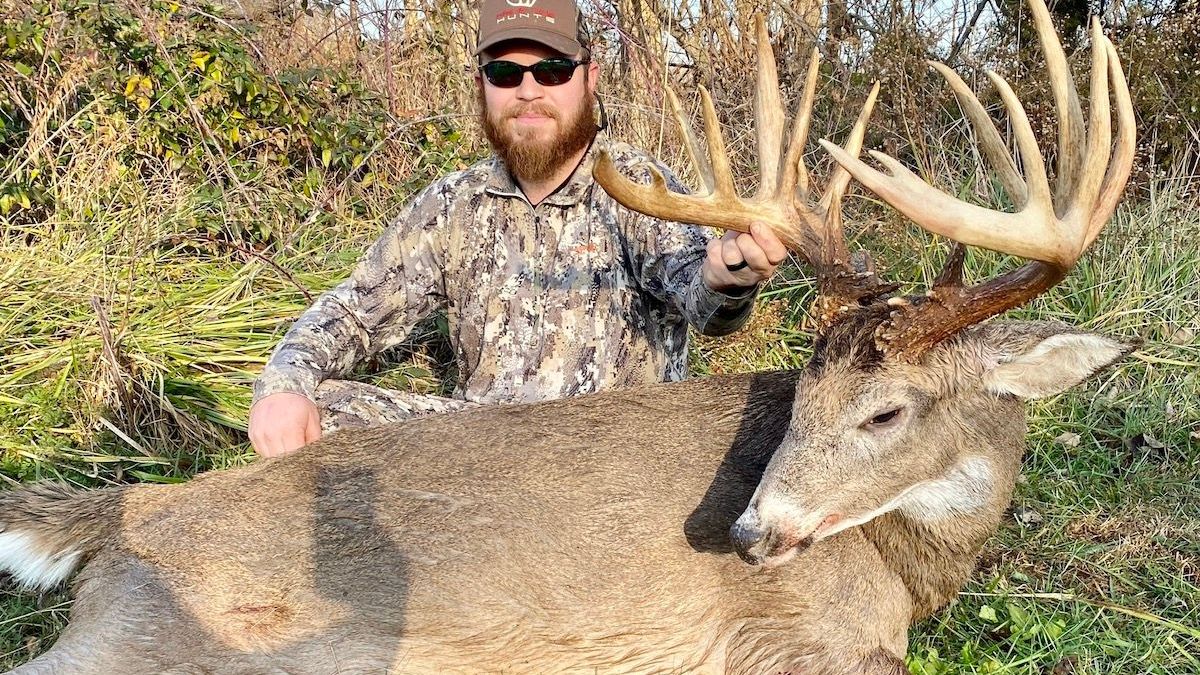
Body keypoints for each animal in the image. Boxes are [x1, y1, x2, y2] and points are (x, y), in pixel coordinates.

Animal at [0, 2, 1132, 667]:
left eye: (885, 410)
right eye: (805, 398)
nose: (750, 535)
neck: (907, 561)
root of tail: (122, 515)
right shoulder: (792, 640)